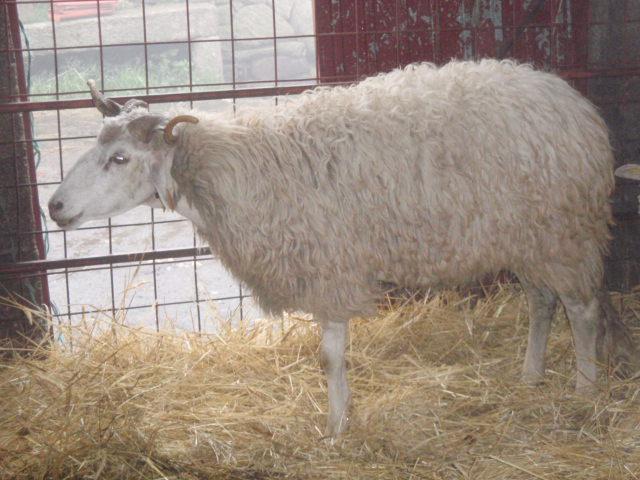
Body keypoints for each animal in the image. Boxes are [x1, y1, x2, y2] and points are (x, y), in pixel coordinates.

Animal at [47, 59, 636, 436]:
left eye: (120, 158)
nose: (54, 207)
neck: (243, 170)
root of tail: (573, 103)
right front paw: (340, 418)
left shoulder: (328, 269)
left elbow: (329, 359)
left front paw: (334, 426)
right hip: (526, 236)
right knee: (542, 302)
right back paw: (531, 374)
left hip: (562, 232)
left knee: (582, 310)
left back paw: (584, 389)